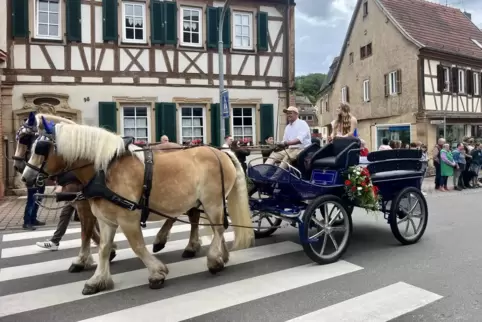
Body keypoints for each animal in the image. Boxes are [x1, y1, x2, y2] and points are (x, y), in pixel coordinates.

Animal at [21, 118, 256, 294]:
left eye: (41, 148)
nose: (25, 177)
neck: (105, 171)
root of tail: (221, 152)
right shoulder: (106, 219)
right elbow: (103, 248)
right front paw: (97, 280)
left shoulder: (128, 218)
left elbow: (137, 246)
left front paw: (157, 273)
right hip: (201, 202)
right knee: (210, 225)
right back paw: (219, 255)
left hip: (212, 202)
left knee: (218, 229)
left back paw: (214, 260)